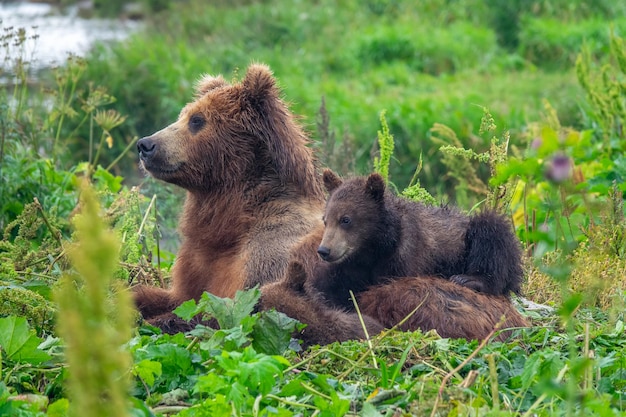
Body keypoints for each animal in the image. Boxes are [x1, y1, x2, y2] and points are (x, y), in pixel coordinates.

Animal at [133, 63, 324, 328]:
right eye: (183, 115)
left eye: (197, 120)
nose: (146, 145)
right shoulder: (198, 260)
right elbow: (180, 297)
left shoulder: (267, 258)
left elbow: (218, 316)